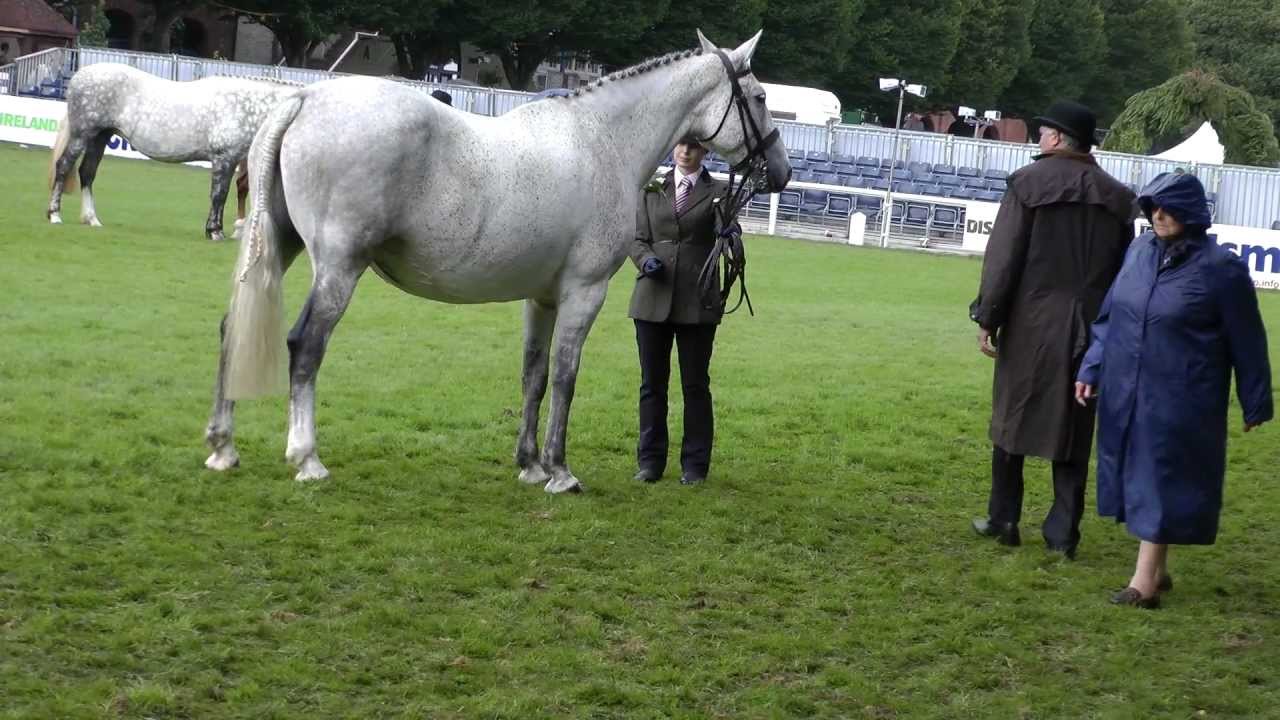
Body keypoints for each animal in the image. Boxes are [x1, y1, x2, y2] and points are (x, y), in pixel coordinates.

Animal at [45, 63, 297, 241]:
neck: (245, 104)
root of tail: (79, 76)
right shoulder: (224, 158)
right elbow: (219, 195)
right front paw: (215, 231)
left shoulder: (232, 160)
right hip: (82, 135)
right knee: (64, 166)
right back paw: (54, 215)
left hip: (100, 137)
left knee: (87, 173)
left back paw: (92, 219)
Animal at [204, 30, 791, 493]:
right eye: (760, 97)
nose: (781, 171)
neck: (602, 140)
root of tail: (304, 98)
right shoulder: (584, 292)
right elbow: (565, 375)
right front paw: (560, 471)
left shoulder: (543, 297)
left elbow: (533, 374)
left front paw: (529, 464)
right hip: (338, 267)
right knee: (306, 344)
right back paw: (307, 458)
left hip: (280, 246)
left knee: (232, 327)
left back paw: (222, 446)